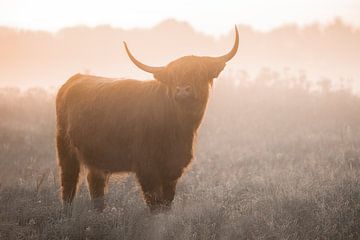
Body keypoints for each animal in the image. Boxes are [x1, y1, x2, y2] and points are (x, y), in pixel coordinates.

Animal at [55, 26, 239, 212]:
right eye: (173, 76)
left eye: (199, 73)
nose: (182, 91)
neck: (180, 128)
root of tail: (76, 78)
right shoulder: (147, 168)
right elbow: (155, 203)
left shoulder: (173, 169)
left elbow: (166, 203)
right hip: (66, 150)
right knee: (68, 184)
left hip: (96, 158)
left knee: (95, 185)